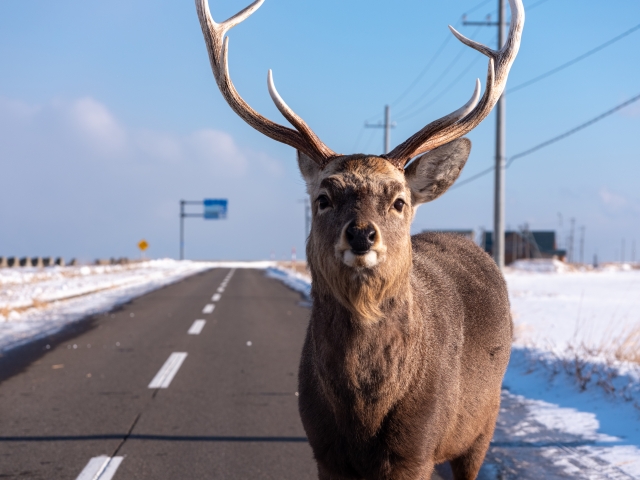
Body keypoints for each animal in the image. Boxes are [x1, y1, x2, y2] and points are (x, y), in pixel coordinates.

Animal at [196, 1, 524, 478]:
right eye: (324, 197)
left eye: (399, 200)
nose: (362, 234)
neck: (363, 411)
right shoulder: (324, 447)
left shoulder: (416, 449)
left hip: (483, 422)